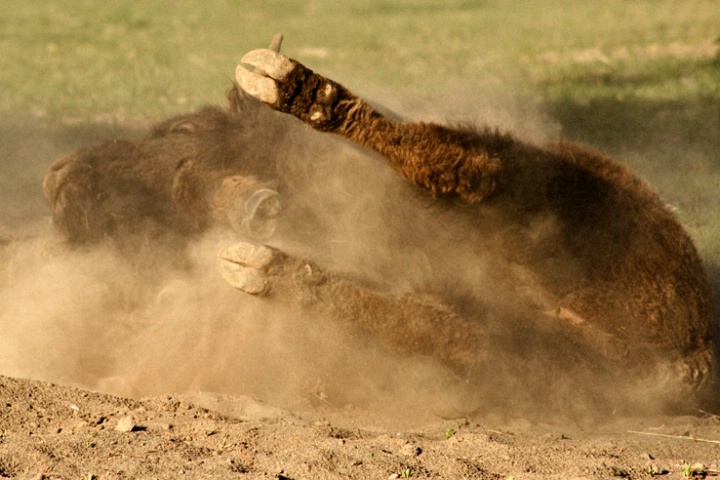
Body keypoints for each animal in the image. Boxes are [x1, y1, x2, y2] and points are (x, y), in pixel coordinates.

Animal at [43, 36, 716, 416]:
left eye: (181, 130)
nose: (59, 178)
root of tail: (693, 354)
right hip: (524, 355)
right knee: (425, 315)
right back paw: (270, 268)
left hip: (556, 184)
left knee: (466, 168)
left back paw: (294, 88)